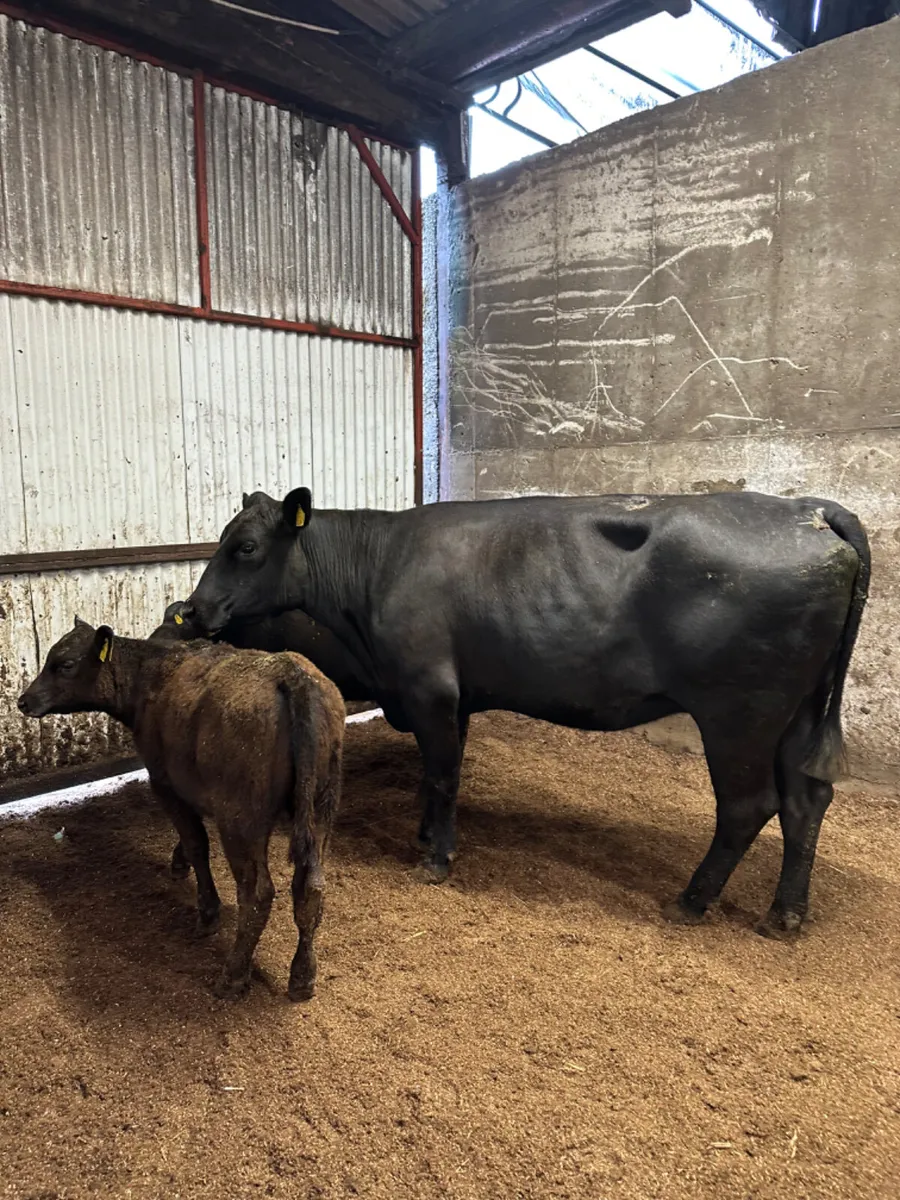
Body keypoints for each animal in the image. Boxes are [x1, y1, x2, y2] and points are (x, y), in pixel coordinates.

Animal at [18, 619, 344, 1001]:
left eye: (65, 664)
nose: (24, 701)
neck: (151, 674)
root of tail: (292, 673)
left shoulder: (165, 783)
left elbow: (197, 844)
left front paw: (207, 911)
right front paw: (179, 862)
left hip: (242, 819)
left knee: (258, 893)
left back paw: (233, 975)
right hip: (321, 808)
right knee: (311, 889)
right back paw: (302, 976)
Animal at [184, 488, 870, 936]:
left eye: (245, 547)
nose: (191, 610)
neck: (376, 568)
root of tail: (809, 510)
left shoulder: (430, 688)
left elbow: (443, 775)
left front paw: (436, 860)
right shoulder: (451, 696)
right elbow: (438, 775)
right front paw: (427, 835)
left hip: (739, 714)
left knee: (748, 806)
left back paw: (691, 902)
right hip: (796, 713)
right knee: (807, 799)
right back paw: (785, 915)